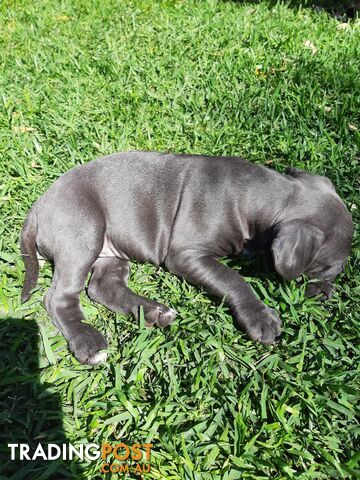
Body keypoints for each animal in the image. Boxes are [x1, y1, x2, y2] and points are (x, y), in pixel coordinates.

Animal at [20, 152, 354, 366]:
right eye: (329, 269)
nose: (330, 295)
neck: (261, 197)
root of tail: (39, 205)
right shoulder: (186, 254)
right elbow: (232, 279)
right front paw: (259, 317)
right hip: (83, 230)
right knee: (58, 297)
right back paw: (87, 342)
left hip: (112, 247)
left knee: (103, 286)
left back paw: (153, 312)